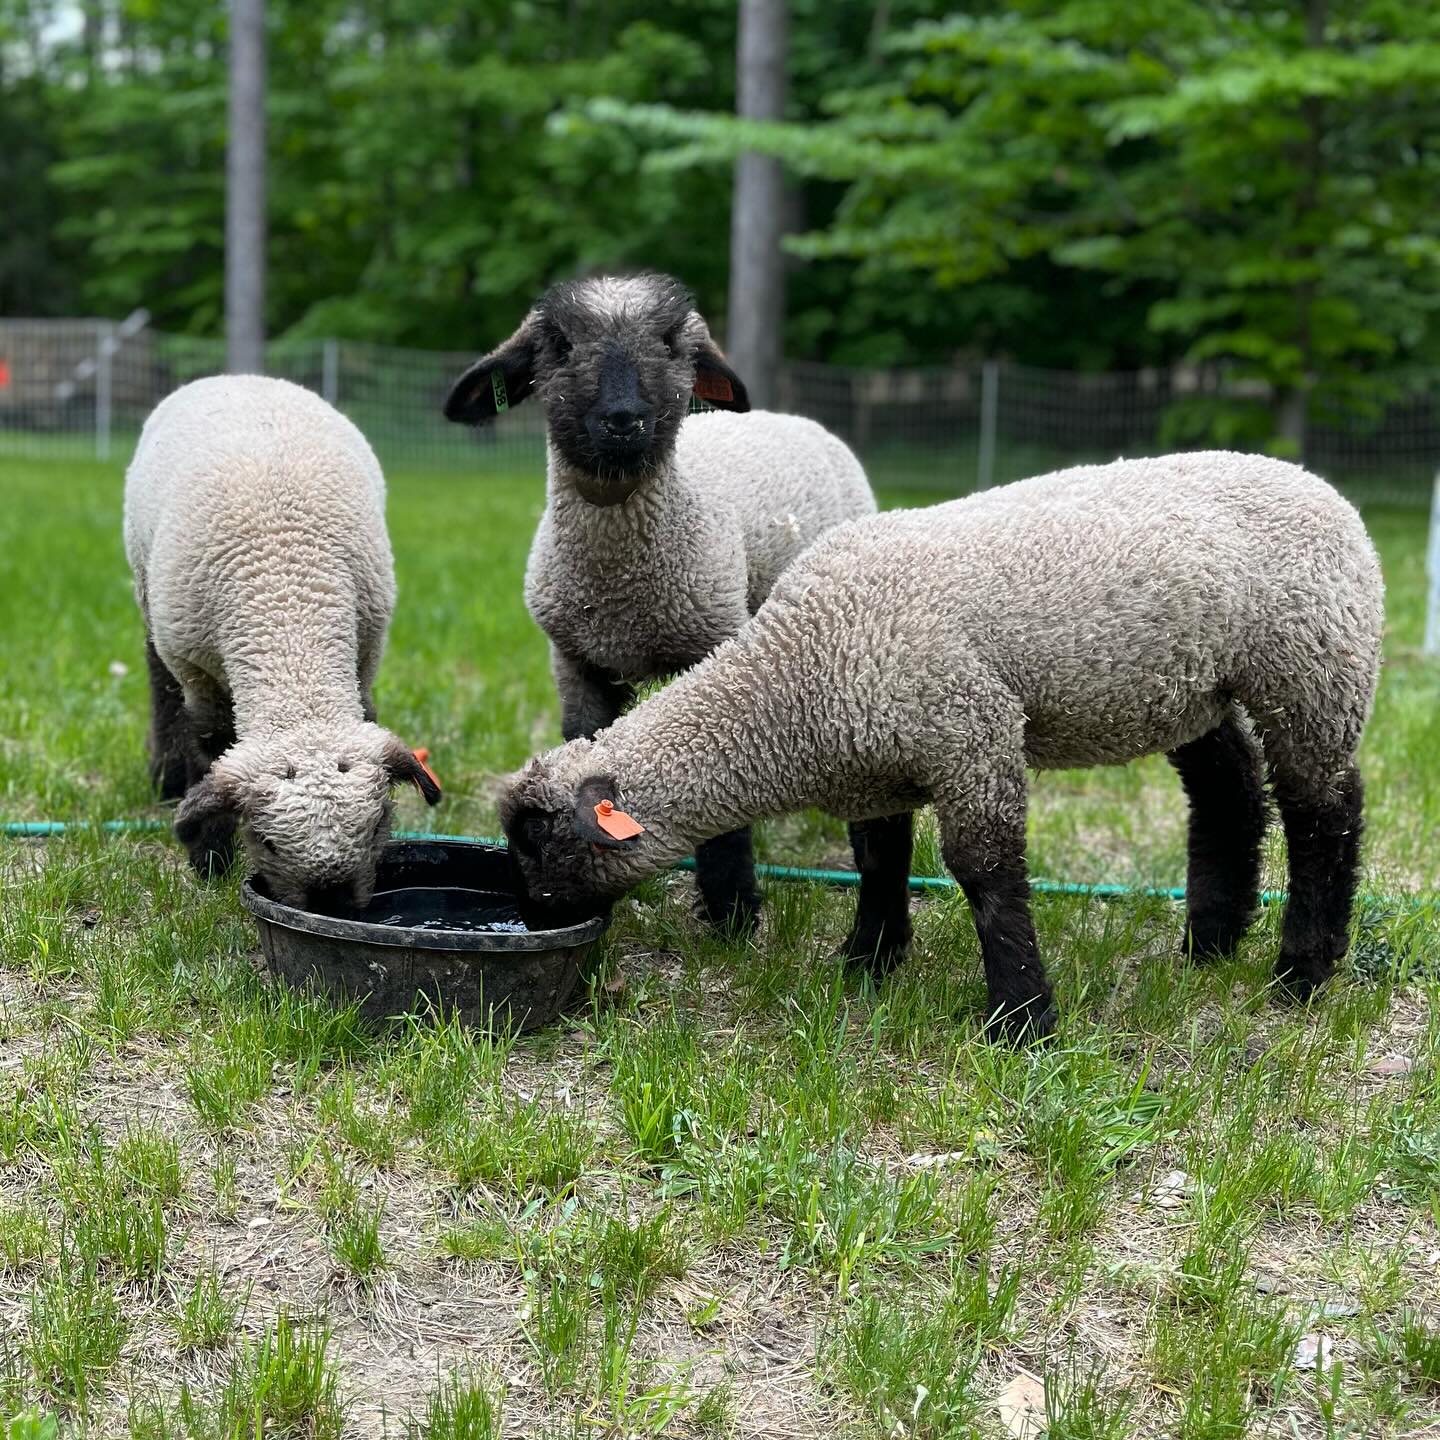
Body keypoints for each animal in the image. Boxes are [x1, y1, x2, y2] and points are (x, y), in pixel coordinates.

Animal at [123, 374, 440, 910]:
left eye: (378, 825)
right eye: (267, 842)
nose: (331, 903)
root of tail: (240, 376)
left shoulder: (366, 652)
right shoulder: (199, 674)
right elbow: (209, 749)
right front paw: (211, 861)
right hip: (151, 599)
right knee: (158, 679)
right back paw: (165, 779)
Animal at [443, 271, 876, 934]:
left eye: (672, 343)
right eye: (560, 344)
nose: (623, 420)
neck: (621, 594)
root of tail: (798, 418)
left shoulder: (713, 643)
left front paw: (732, 914)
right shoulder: (576, 660)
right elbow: (587, 750)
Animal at [499, 451, 1384, 1042]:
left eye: (543, 847)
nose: (527, 915)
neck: (795, 679)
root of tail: (1324, 490)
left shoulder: (972, 733)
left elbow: (985, 877)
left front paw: (1023, 1020)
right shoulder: (876, 764)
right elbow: (880, 859)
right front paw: (867, 964)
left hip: (1313, 666)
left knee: (1325, 811)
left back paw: (1303, 970)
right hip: (1190, 683)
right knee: (1230, 788)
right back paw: (1210, 943)